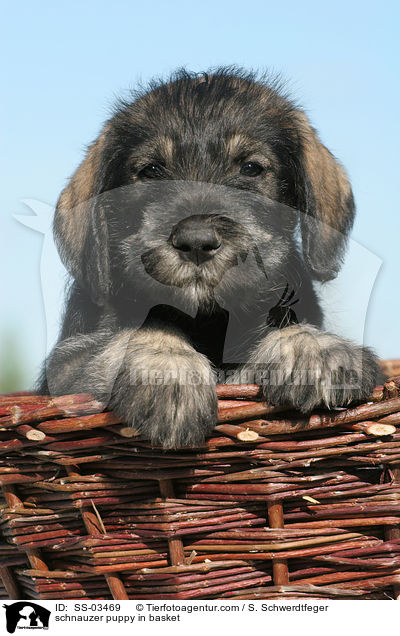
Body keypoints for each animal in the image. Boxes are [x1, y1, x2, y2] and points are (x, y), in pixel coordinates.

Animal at [39, 68, 378, 448]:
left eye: (251, 168)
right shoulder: (64, 367)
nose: (196, 242)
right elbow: (144, 328)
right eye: (151, 171)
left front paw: (312, 348)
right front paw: (170, 372)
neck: (209, 319)